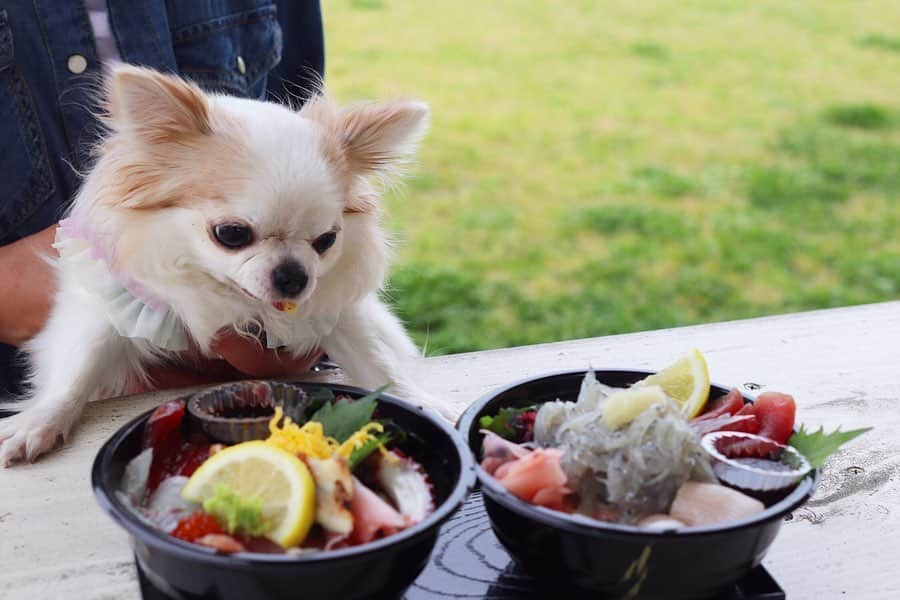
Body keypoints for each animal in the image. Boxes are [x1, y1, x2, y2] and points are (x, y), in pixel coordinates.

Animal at [0, 67, 450, 468]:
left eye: (326, 241)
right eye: (231, 235)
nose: (294, 275)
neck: (222, 290)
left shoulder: (336, 313)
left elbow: (378, 360)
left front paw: (421, 401)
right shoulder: (114, 302)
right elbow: (77, 366)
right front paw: (39, 421)